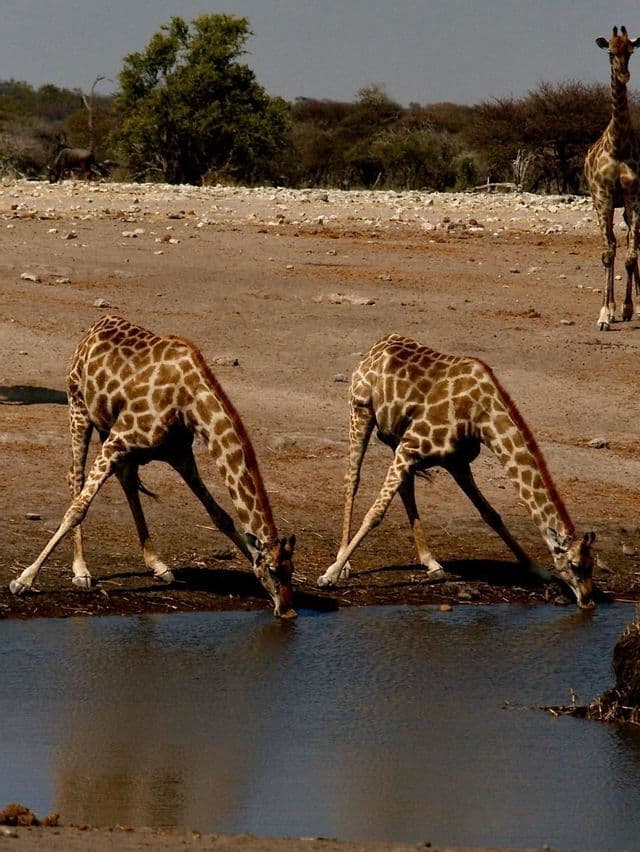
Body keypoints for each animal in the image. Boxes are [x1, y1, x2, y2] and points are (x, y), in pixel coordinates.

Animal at [10, 315, 297, 618]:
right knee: (75, 477)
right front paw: (23, 580)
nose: (288, 610)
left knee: (126, 480)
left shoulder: (179, 454)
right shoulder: (118, 440)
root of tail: (95, 326)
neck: (190, 402)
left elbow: (220, 515)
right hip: (79, 408)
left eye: (291, 570)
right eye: (273, 570)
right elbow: (77, 510)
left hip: (110, 430)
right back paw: (81, 570)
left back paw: (157, 564)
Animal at [317, 334, 596, 609]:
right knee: (352, 479)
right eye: (575, 565)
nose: (588, 601)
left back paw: (431, 563)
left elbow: (490, 514)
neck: (481, 416)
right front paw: (329, 575)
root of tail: (378, 345)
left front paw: (536, 569)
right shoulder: (411, 446)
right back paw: (343, 562)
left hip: (396, 437)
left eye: (592, 565)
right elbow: (375, 514)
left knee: (406, 487)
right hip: (361, 411)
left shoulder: (456, 462)